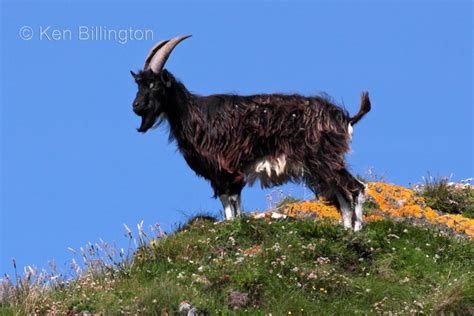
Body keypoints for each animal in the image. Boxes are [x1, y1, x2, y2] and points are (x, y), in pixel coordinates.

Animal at [131, 35, 372, 231]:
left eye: (153, 85)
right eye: (138, 85)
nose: (135, 106)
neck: (192, 114)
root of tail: (344, 117)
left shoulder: (226, 167)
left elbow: (232, 201)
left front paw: (232, 225)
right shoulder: (217, 173)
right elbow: (226, 201)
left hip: (324, 158)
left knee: (356, 188)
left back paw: (358, 230)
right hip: (322, 164)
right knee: (341, 193)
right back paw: (346, 230)